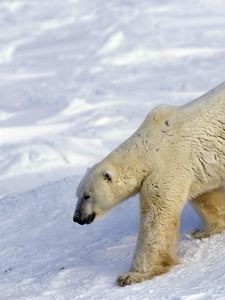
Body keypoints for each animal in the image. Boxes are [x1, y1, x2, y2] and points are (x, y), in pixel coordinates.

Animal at [73, 82, 225, 286]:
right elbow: (206, 197)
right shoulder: (194, 169)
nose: (77, 217)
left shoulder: (167, 166)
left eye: (87, 195)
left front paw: (132, 275)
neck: (147, 148)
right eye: (77, 194)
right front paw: (204, 231)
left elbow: (156, 218)